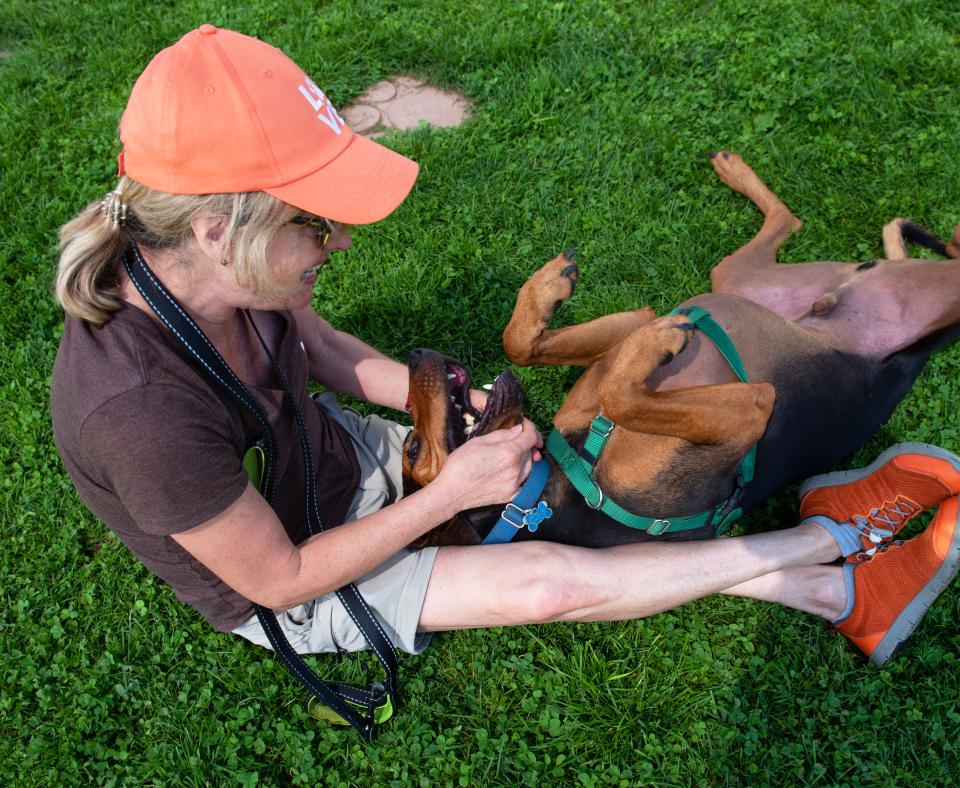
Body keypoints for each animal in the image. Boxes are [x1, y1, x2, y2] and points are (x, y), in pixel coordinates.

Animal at [400, 154, 960, 548]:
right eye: (412, 449)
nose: (414, 355)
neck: (553, 487)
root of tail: (911, 360)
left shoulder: (624, 333)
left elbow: (522, 345)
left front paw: (547, 288)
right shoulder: (750, 409)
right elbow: (623, 391)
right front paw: (661, 340)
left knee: (794, 220)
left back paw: (733, 169)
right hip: (769, 281)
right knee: (800, 223)